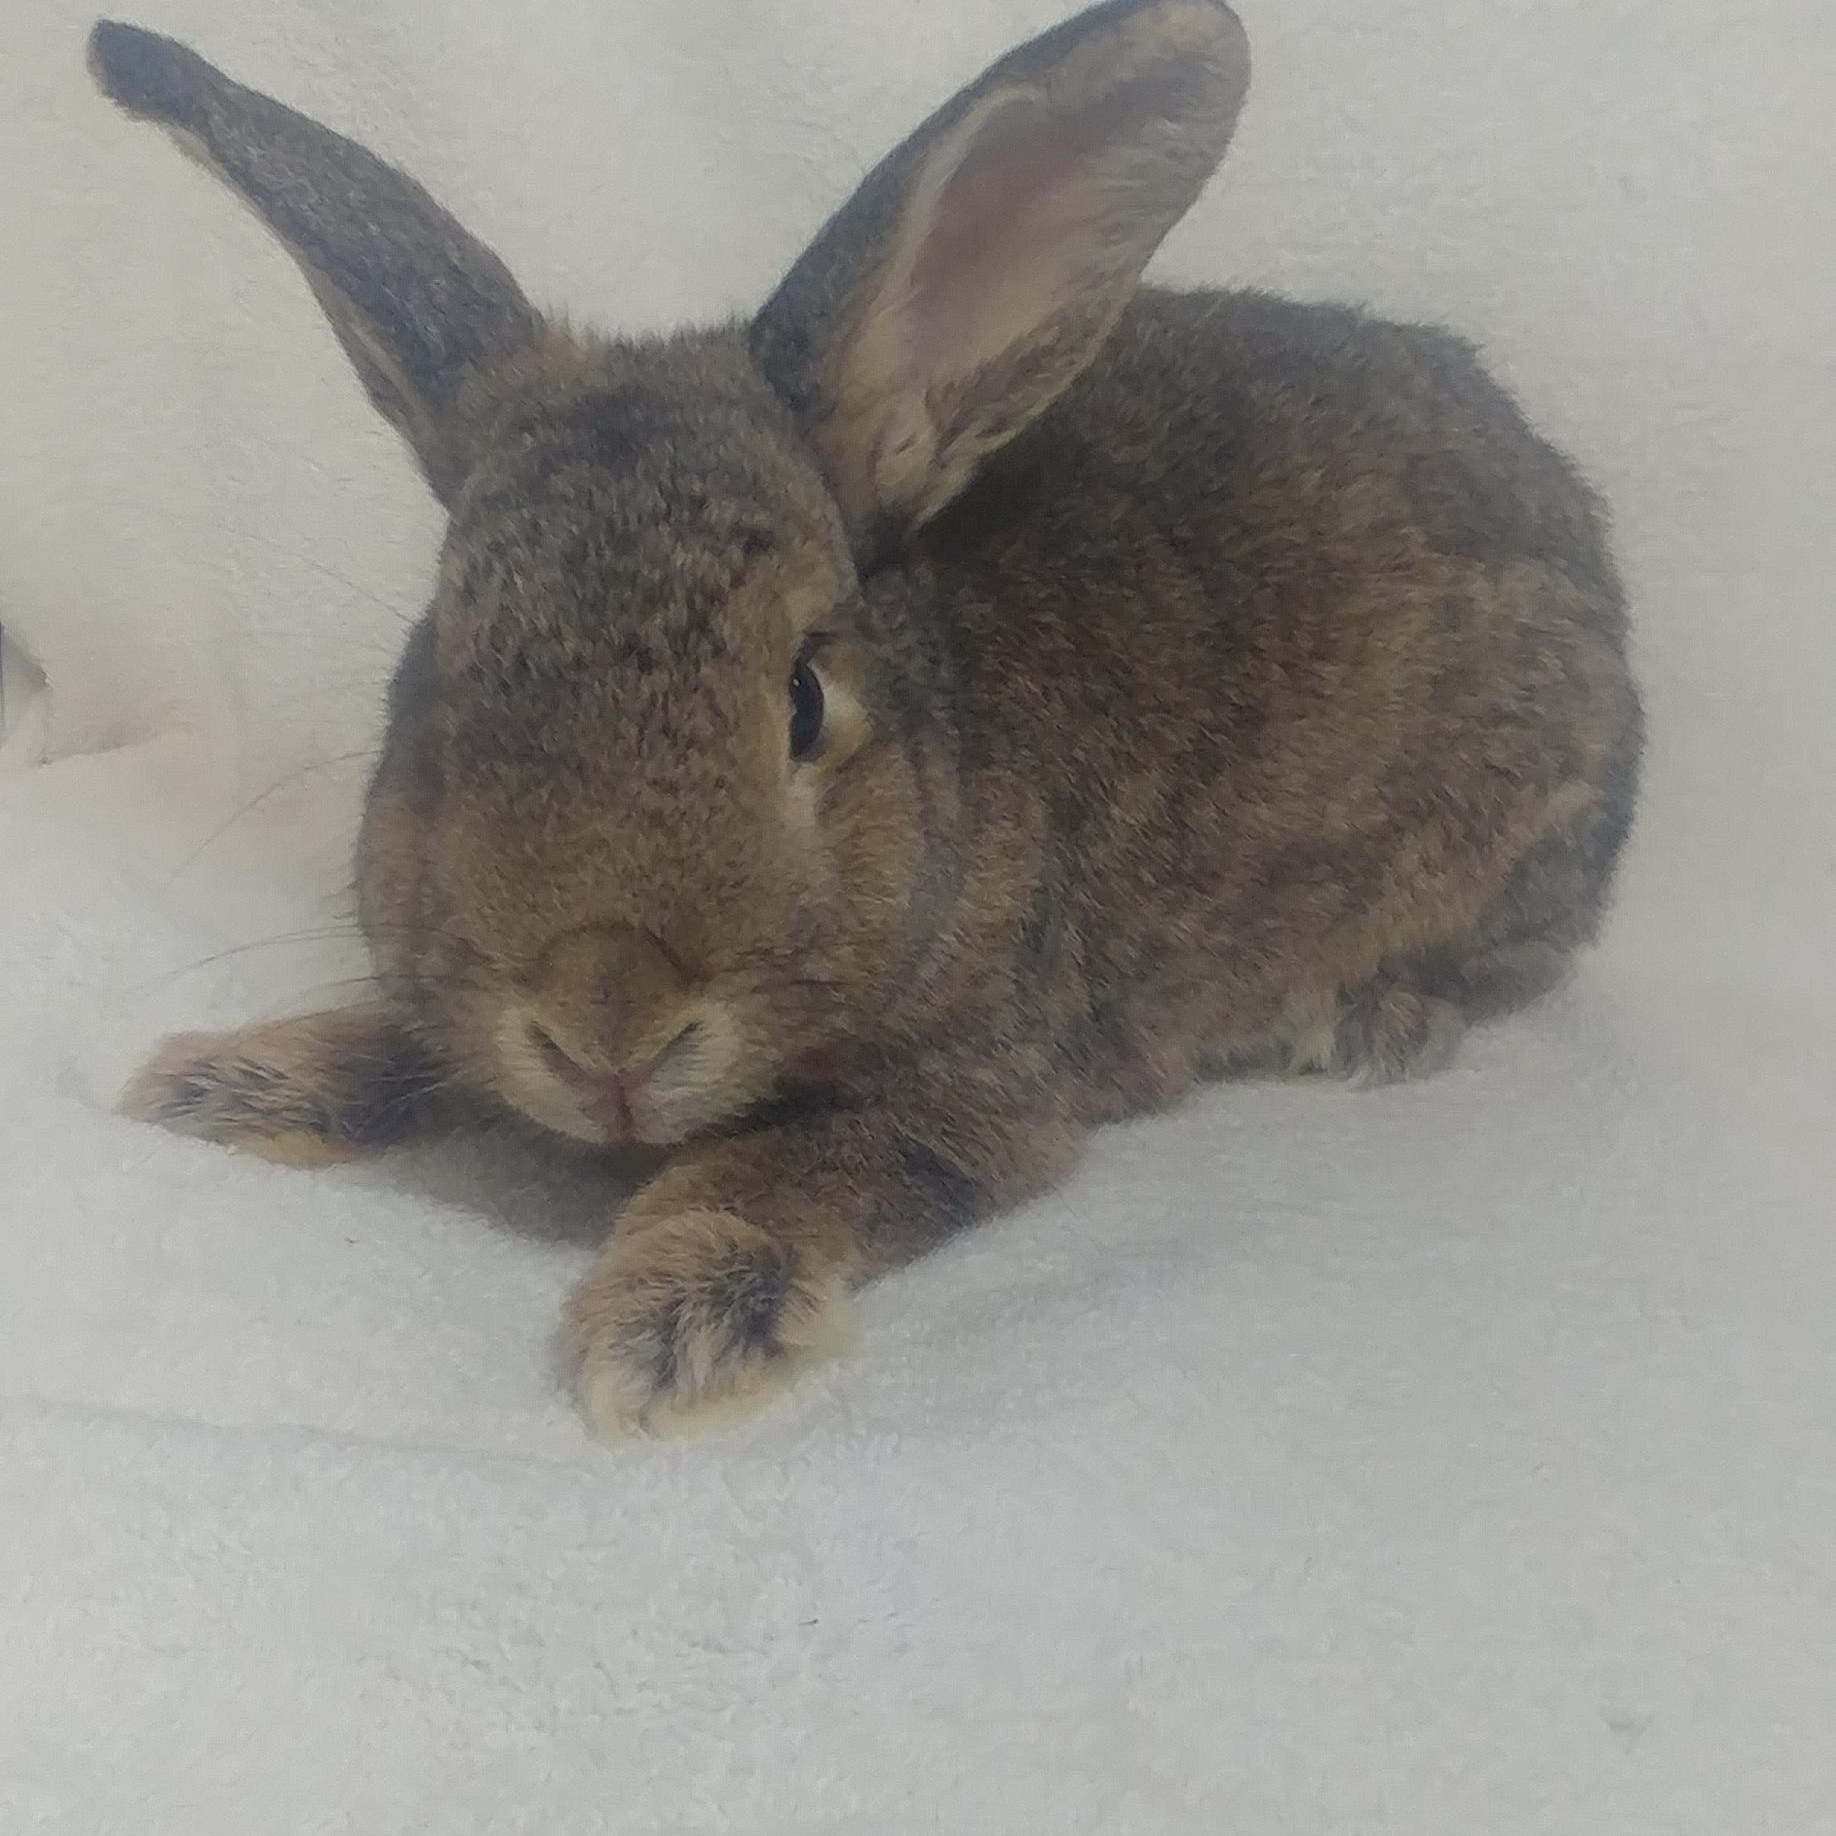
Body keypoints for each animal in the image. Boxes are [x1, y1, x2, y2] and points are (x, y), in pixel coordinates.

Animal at [97, 0, 1642, 1439]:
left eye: (803, 700)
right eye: (438, 681)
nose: (607, 1029)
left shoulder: (986, 1093)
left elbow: (779, 1172)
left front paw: (670, 1328)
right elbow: (422, 1046)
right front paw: (227, 1084)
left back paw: (1371, 1020)